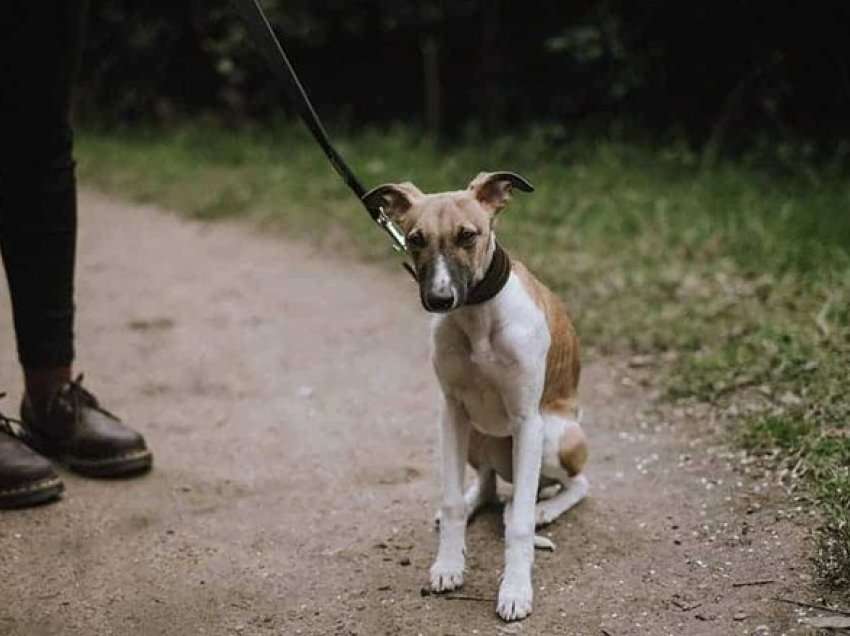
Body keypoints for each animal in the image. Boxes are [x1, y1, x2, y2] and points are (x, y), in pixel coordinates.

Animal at [362, 170, 588, 620]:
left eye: (468, 235)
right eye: (414, 239)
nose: (439, 299)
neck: (477, 317)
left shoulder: (527, 421)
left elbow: (518, 526)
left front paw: (515, 589)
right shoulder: (452, 411)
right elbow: (450, 500)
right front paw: (449, 564)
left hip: (554, 435)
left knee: (574, 484)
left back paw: (545, 508)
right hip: (477, 438)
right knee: (486, 486)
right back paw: (477, 504)